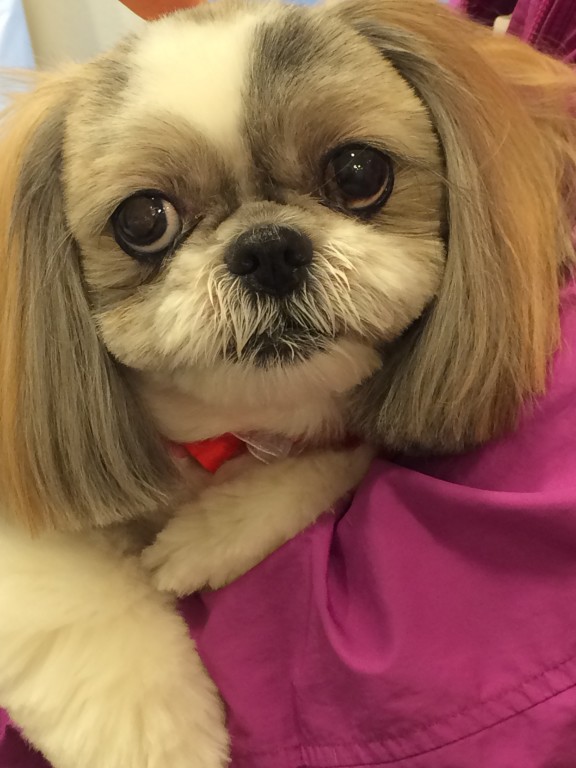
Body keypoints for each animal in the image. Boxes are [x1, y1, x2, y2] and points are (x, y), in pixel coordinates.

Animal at [0, 1, 574, 767]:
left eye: (359, 171)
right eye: (143, 219)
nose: (268, 249)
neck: (229, 432)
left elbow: (338, 451)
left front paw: (214, 532)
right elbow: (65, 593)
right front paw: (151, 732)